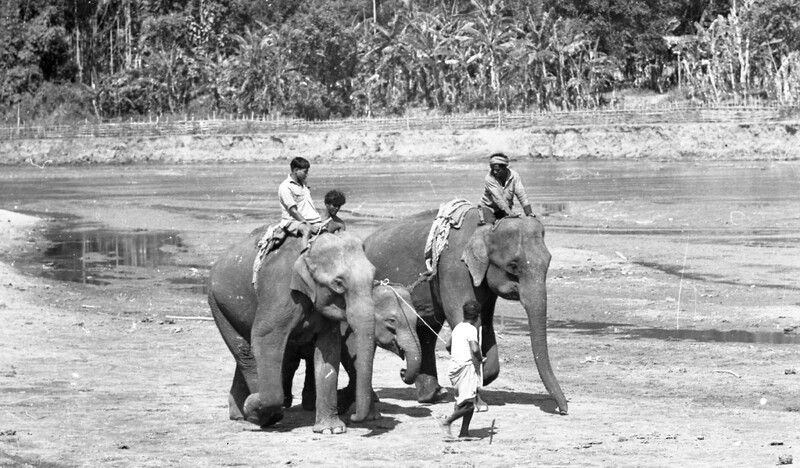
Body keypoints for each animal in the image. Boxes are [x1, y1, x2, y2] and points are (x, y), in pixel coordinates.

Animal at [207, 227, 421, 433]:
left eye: (372, 278)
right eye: (391, 321)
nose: (402, 372)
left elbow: (330, 351)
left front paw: (332, 428)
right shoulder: (279, 294)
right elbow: (266, 338)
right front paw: (256, 407)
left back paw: (241, 412)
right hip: (218, 303)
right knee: (246, 352)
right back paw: (257, 412)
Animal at [363, 207, 569, 415]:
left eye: (549, 262)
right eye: (513, 265)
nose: (563, 410)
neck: (487, 226)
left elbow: (485, 323)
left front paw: (481, 374)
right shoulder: (454, 267)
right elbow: (463, 317)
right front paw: (478, 403)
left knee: (427, 331)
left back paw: (434, 395)